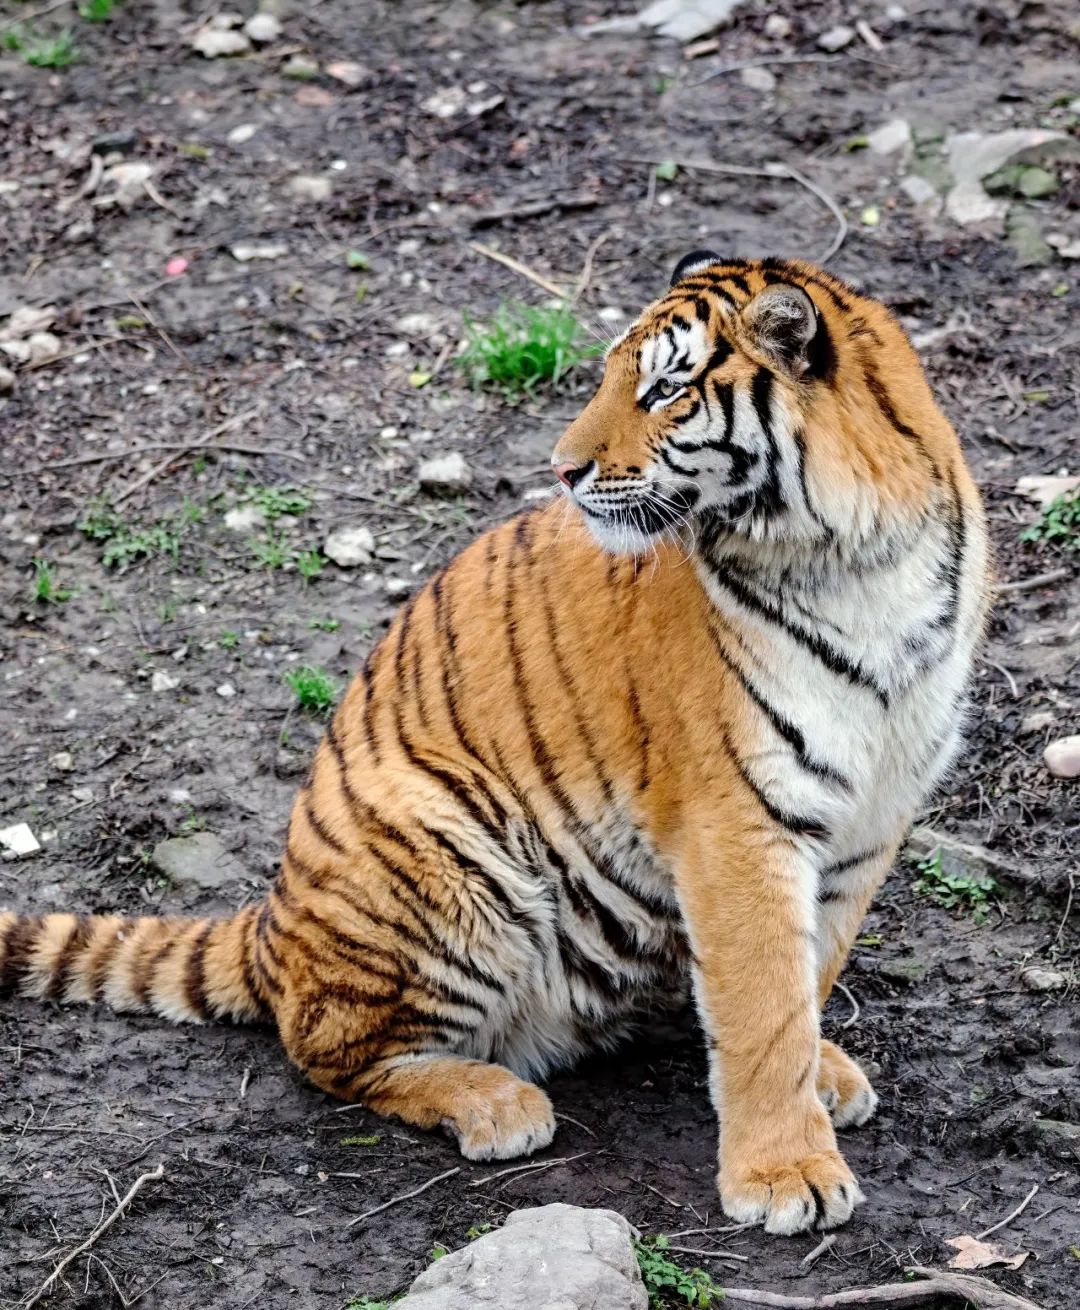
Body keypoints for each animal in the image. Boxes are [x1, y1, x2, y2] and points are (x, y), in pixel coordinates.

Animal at [1, 254, 990, 1236]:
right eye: (608, 376)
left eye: (665, 390)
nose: (562, 469)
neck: (860, 561)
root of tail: (269, 922)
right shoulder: (737, 821)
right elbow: (763, 1007)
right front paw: (786, 1174)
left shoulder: (874, 811)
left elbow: (809, 972)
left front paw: (817, 1080)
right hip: (451, 855)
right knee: (327, 1052)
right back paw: (495, 1102)